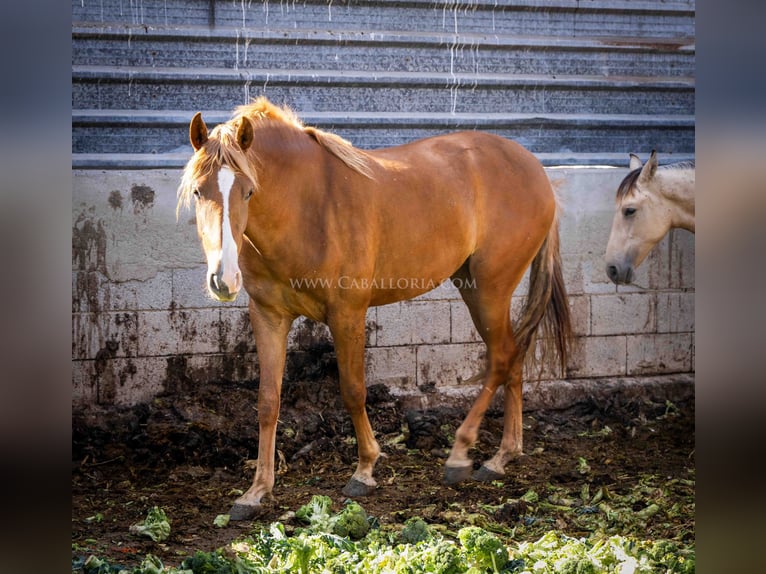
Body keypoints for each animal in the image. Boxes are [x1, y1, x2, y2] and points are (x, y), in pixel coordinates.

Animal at [177, 99, 572, 520]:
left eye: (250, 191)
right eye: (199, 192)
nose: (223, 279)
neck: (309, 207)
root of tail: (535, 171)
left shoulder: (347, 314)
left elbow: (353, 390)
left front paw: (365, 470)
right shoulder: (268, 316)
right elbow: (268, 401)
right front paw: (255, 492)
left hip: (490, 289)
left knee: (501, 359)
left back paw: (462, 453)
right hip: (476, 289)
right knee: (514, 357)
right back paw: (503, 456)